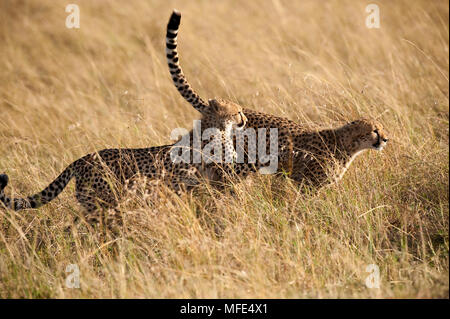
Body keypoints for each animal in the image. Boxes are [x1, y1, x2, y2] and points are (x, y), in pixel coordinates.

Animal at [164, 10, 386, 189]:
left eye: (381, 129)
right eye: (374, 130)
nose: (386, 139)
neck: (346, 143)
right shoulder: (304, 185)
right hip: (238, 164)